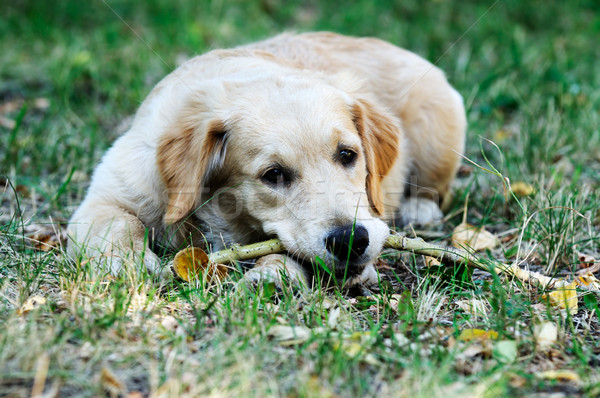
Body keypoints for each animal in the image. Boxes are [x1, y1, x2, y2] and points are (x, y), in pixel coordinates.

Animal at [67, 31, 468, 286]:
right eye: (273, 174)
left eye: (347, 155)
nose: (351, 240)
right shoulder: (104, 199)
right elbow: (118, 225)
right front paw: (124, 261)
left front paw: (273, 272)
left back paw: (419, 207)